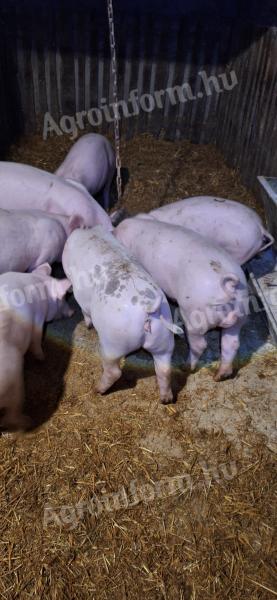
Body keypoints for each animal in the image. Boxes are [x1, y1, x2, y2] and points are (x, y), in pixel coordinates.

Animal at [0, 264, 72, 432]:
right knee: (12, 414)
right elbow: (37, 339)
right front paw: (41, 358)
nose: (72, 312)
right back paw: (28, 422)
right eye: (63, 298)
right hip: (15, 379)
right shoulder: (38, 319)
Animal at [62, 225, 183, 404]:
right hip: (164, 340)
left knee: (114, 371)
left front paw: (88, 325)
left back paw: (97, 389)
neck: (92, 233)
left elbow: (85, 310)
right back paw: (166, 399)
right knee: (165, 370)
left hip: (113, 343)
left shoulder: (80, 295)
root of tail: (147, 308)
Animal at [115, 219, 249, 380]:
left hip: (194, 315)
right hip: (241, 314)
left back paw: (186, 367)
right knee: (231, 343)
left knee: (200, 344)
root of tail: (228, 287)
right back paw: (219, 376)